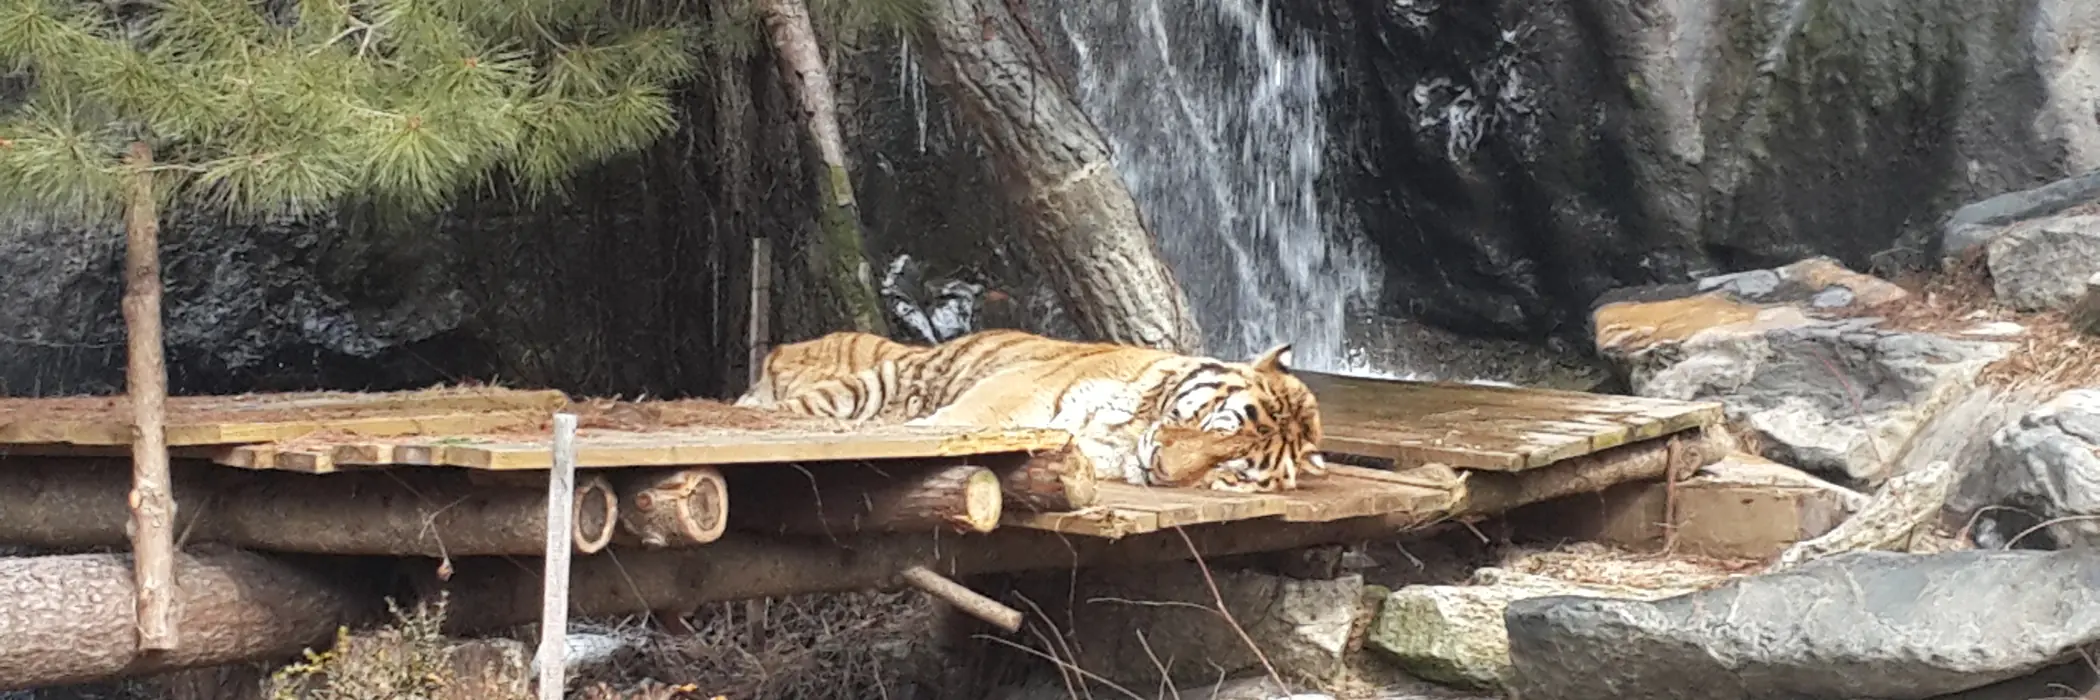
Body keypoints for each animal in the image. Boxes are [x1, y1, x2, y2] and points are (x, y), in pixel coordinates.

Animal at [737, 329, 1327, 493]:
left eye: (1230, 471)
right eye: (1211, 421)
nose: (1159, 468)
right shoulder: (999, 402)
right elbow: (947, 426)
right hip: (862, 387)